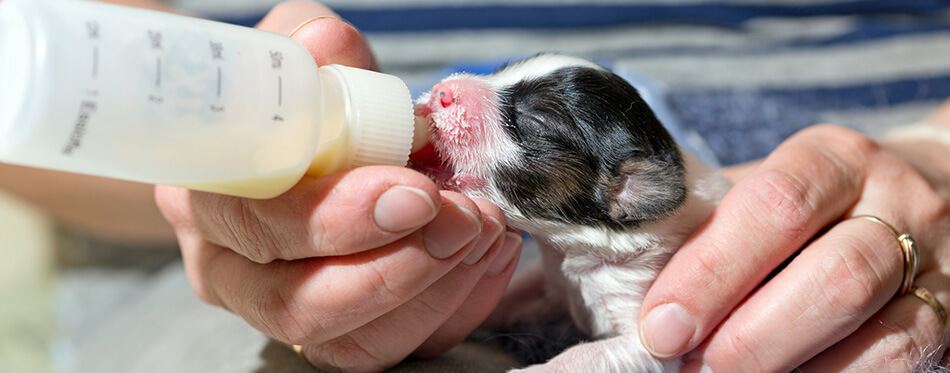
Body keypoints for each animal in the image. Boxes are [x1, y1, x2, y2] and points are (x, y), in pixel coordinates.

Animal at [410, 53, 728, 372]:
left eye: (534, 121)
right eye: (499, 71)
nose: (441, 91)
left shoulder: (654, 332)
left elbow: (582, 356)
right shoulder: (550, 283)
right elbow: (514, 296)